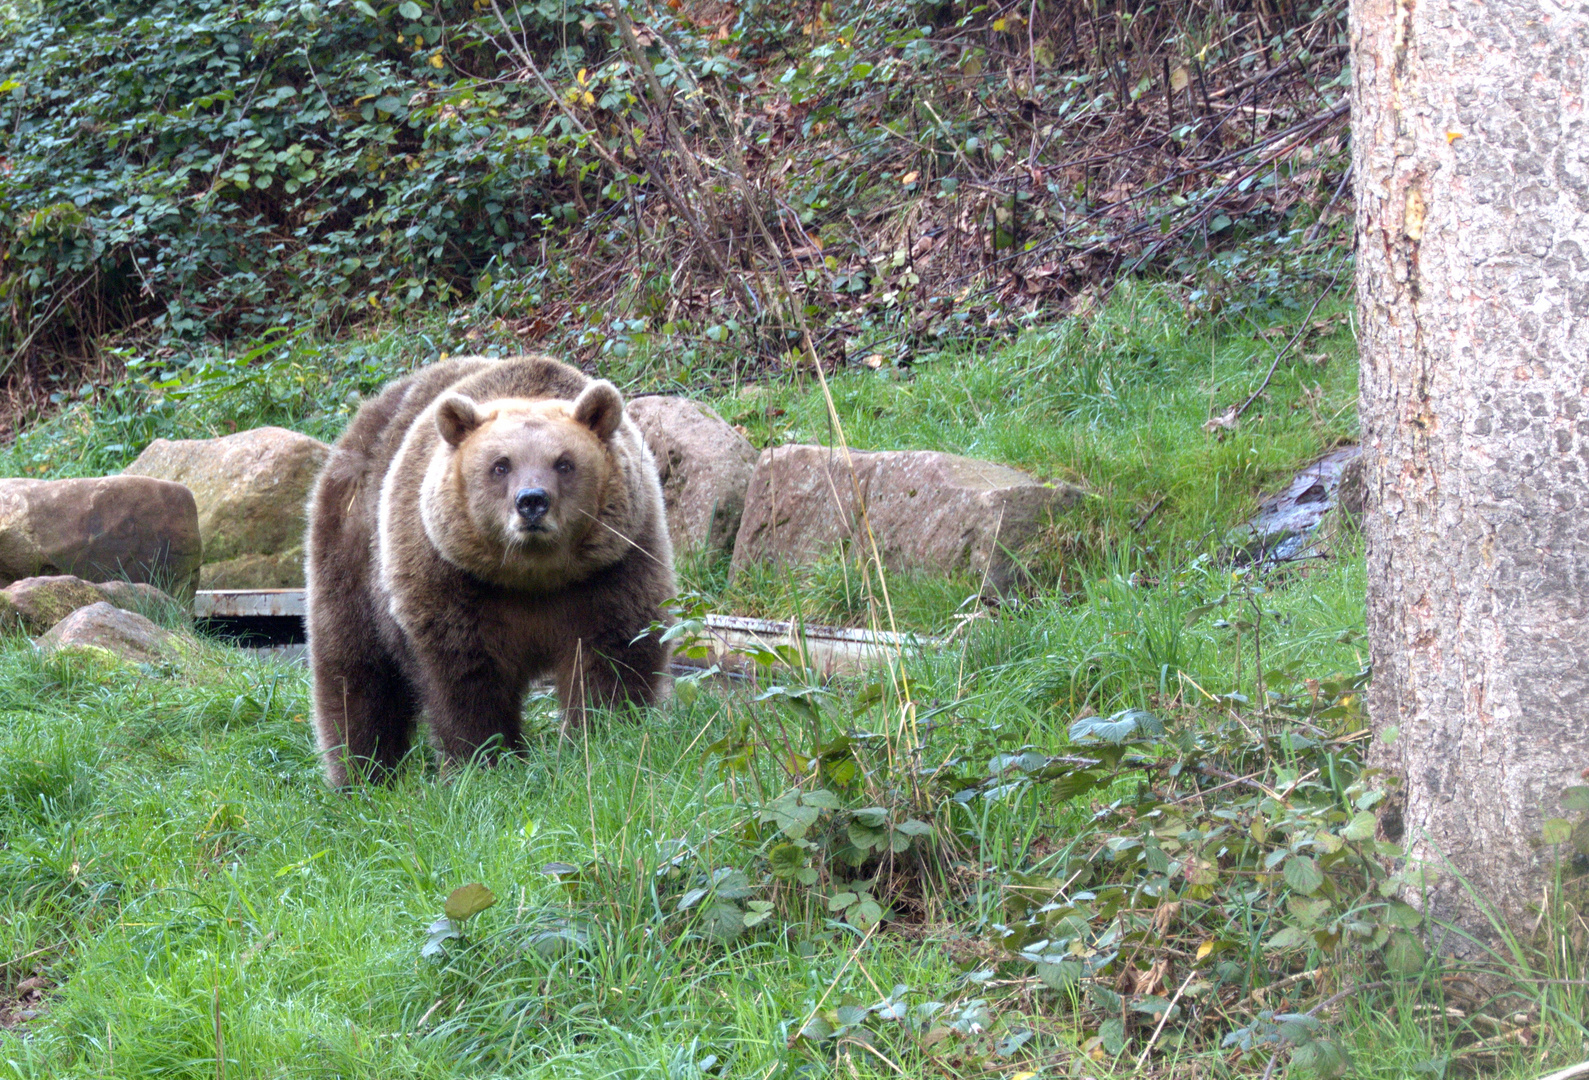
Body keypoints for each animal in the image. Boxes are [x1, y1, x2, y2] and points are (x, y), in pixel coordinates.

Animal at [305, 354, 676, 784]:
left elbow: (613, 655)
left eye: (564, 463)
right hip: (354, 551)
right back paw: (362, 774)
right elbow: (466, 678)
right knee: (355, 671)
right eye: (501, 465)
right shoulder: (449, 580)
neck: (532, 576)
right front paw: (485, 761)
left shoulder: (612, 569)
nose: (532, 501)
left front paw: (603, 740)